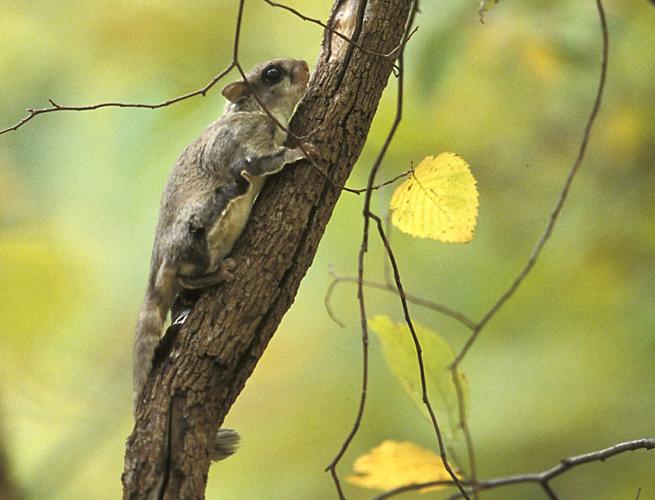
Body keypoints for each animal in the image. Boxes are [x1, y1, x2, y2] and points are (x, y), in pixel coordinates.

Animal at [133, 58, 316, 460]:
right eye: (272, 74)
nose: (305, 65)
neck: (248, 111)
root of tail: (156, 265)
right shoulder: (247, 142)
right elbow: (262, 162)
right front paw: (302, 151)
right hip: (200, 226)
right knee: (189, 270)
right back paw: (216, 274)